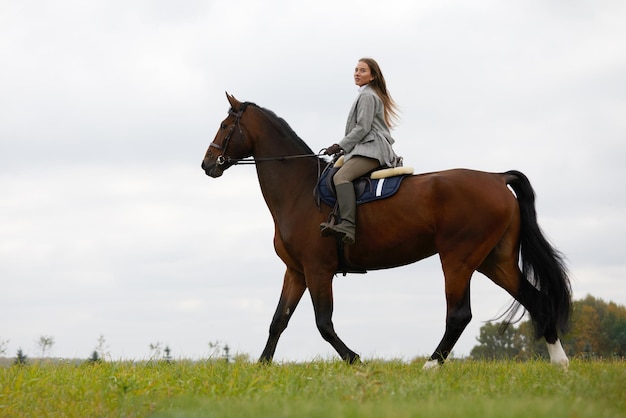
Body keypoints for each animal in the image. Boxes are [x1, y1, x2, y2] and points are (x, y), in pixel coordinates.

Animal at [201, 93, 572, 368]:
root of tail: (496, 178)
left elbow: (324, 323)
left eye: (224, 125)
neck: (300, 190)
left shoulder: (318, 270)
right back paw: (559, 361)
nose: (206, 164)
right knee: (536, 299)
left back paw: (430, 365)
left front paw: (355, 359)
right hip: (494, 261)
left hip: (459, 260)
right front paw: (262, 367)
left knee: (459, 315)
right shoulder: (296, 271)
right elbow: (279, 319)